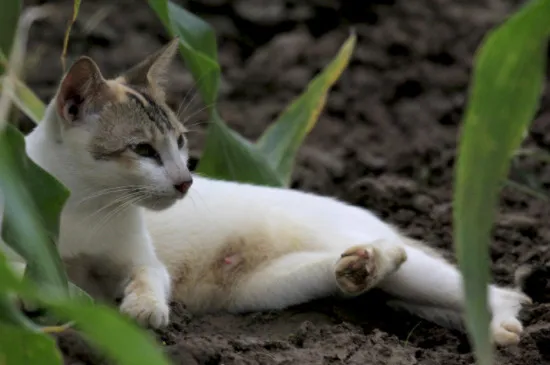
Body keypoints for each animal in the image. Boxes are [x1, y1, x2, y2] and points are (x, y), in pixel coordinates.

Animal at [5, 37, 536, 346]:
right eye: (142, 149)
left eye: (180, 143)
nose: (184, 180)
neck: (82, 205)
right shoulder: (24, 250)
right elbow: (44, 282)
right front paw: (68, 303)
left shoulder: (144, 261)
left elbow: (147, 280)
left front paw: (143, 310)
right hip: (274, 286)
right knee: (368, 267)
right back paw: (361, 267)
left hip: (414, 273)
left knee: (498, 292)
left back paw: (500, 328)